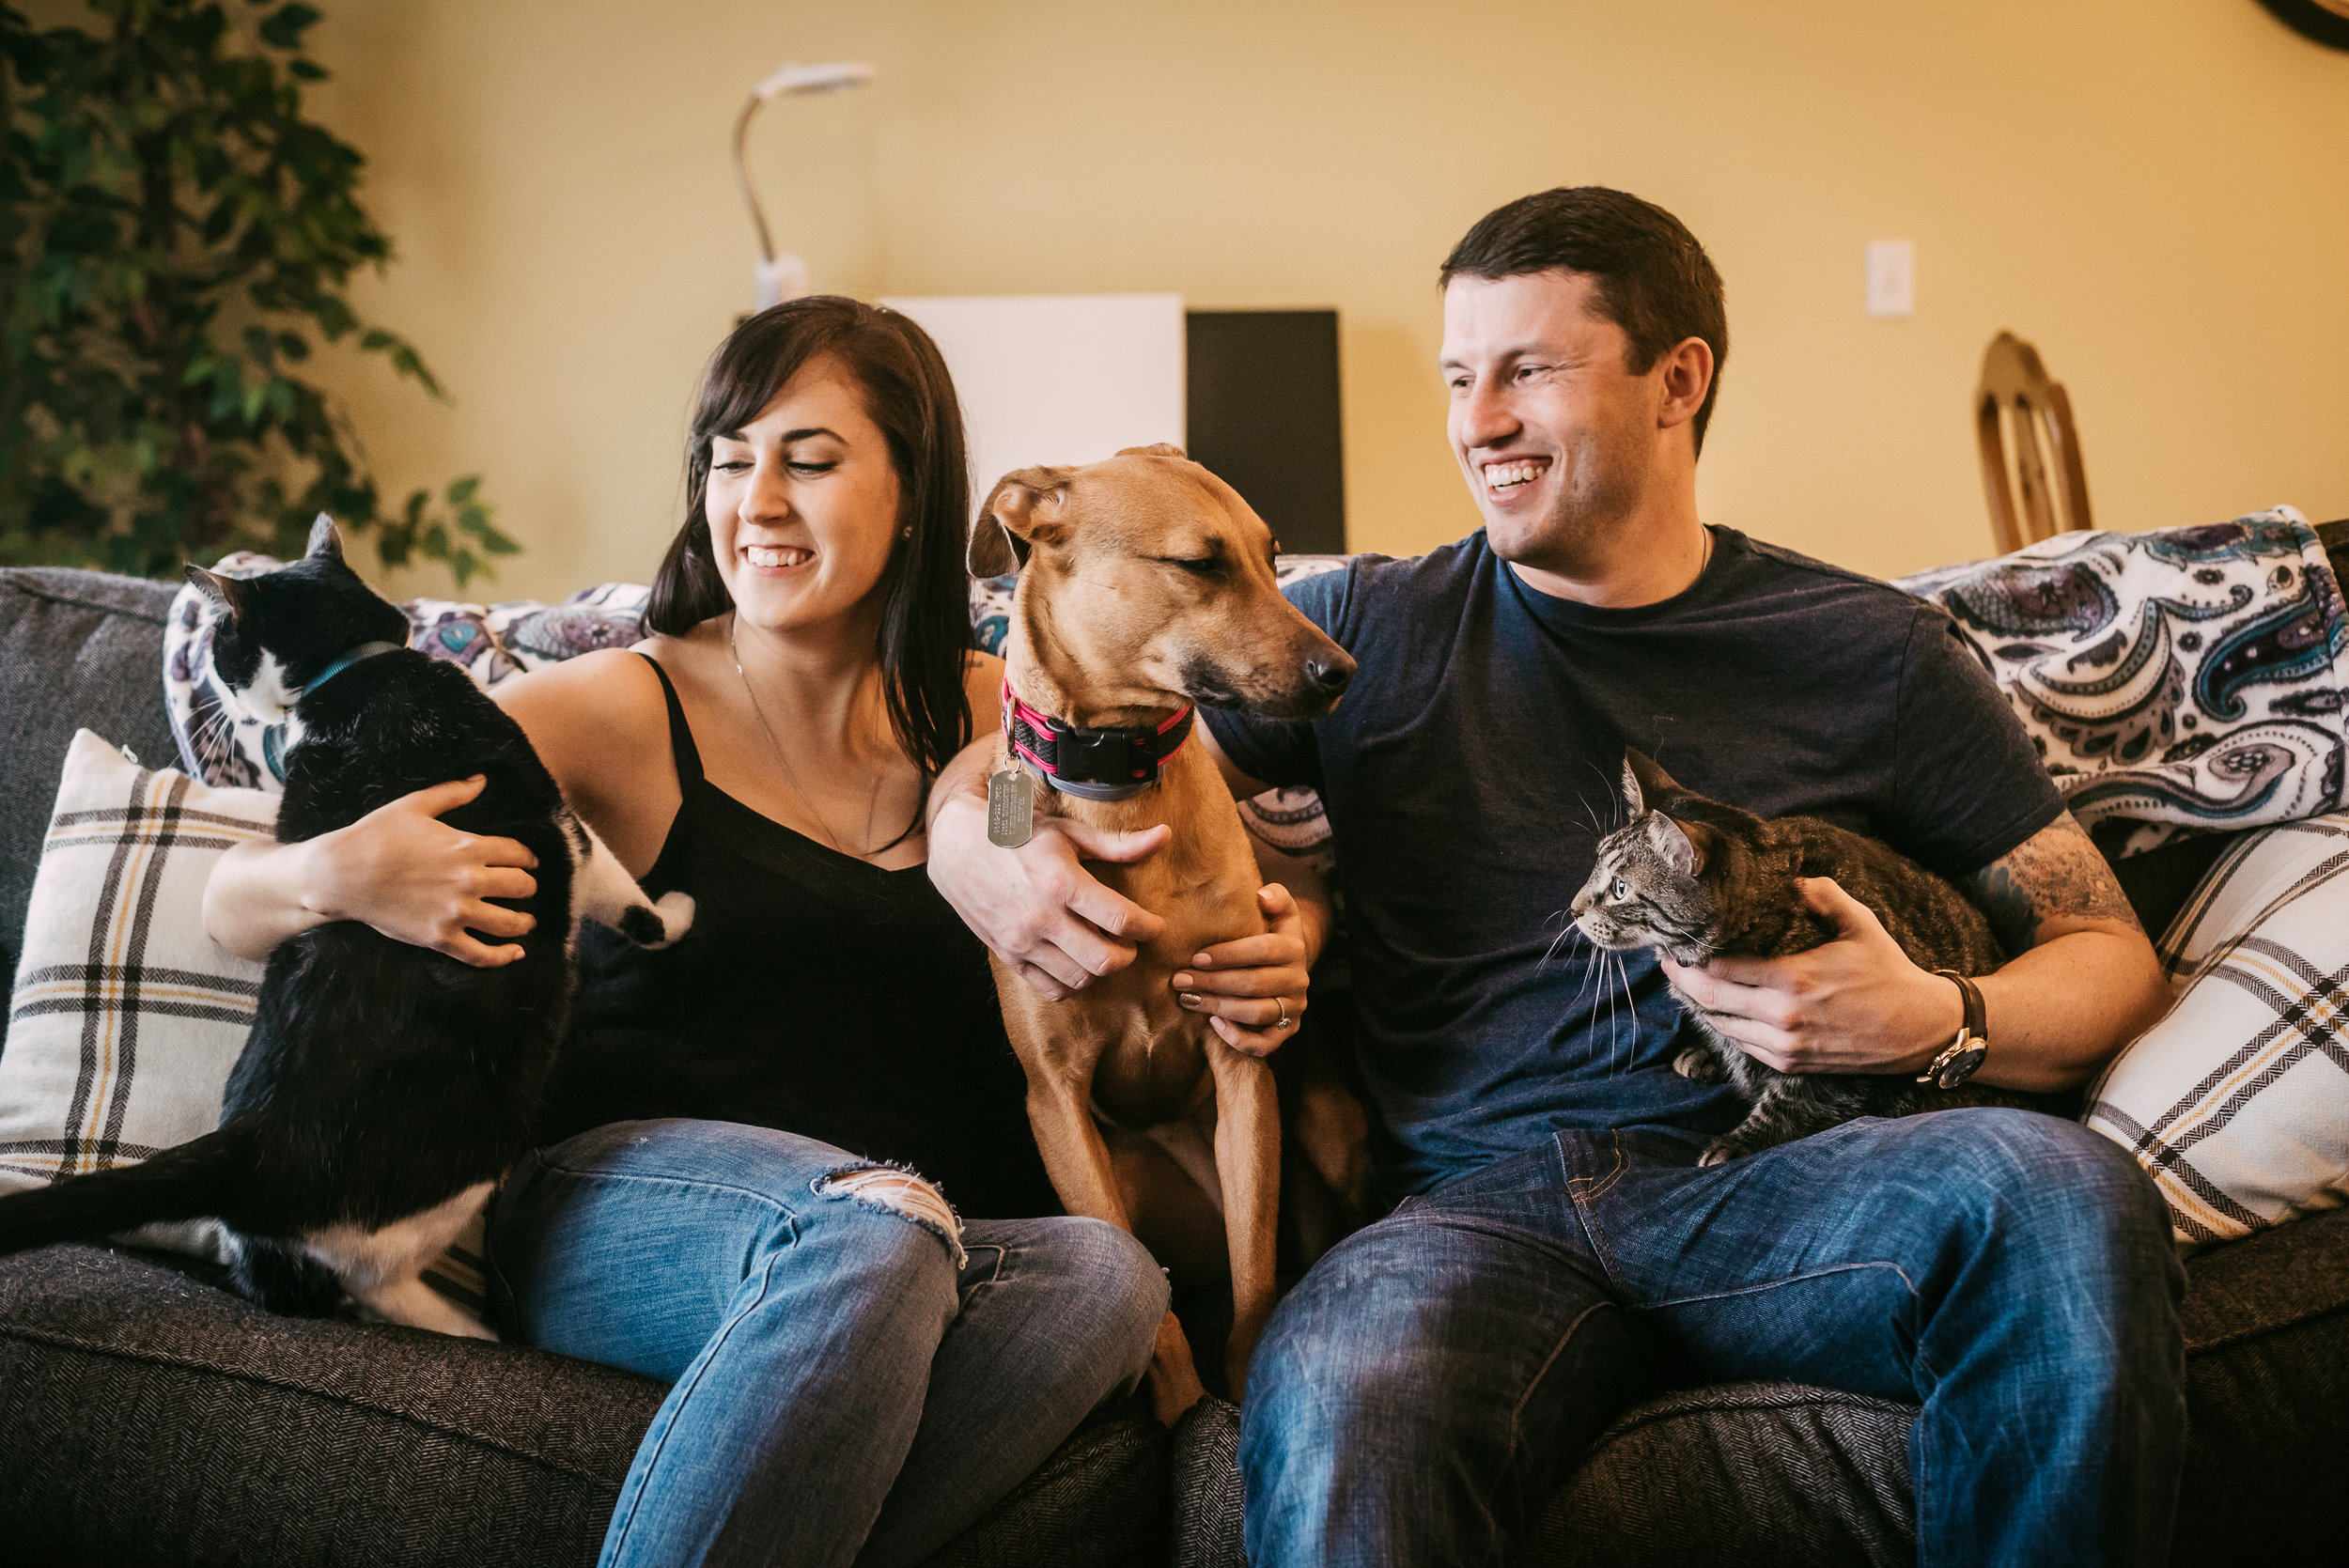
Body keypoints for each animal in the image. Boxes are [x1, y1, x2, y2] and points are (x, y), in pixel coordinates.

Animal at [0, 516, 686, 1333]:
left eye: (221, 649)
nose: (219, 700)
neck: (356, 673)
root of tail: (252, 1139)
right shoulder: (566, 831)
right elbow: (628, 895)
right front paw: (680, 912)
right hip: (462, 1157)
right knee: (377, 1278)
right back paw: (467, 1325)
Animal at [963, 443, 1353, 1418]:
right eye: (1199, 563)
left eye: (1272, 555)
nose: (1344, 671)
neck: (1118, 776)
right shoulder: (1056, 1101)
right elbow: (1158, 1313)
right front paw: (1183, 1412)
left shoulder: (1242, 1062)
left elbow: (1256, 1283)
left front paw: (1240, 1393)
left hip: (1322, 1127)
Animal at [1579, 746, 2058, 1164]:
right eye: (1595, 864)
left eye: (1619, 888)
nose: (1574, 908)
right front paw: (1710, 1053)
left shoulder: (1841, 1062)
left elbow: (1791, 1102)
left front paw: (1739, 1143)